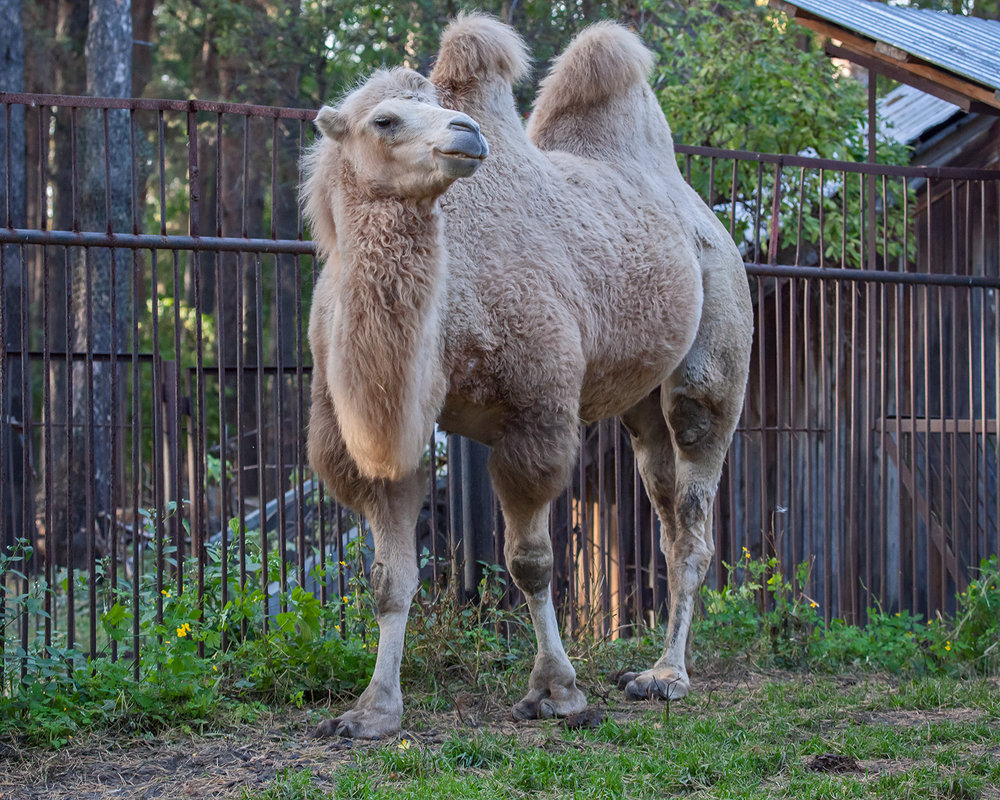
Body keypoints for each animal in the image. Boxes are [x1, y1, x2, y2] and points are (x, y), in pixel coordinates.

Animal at [302, 14, 752, 736]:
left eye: (439, 105)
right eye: (385, 119)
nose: (467, 132)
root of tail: (701, 213)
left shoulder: (536, 408)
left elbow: (532, 564)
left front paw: (556, 691)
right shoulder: (375, 433)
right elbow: (388, 579)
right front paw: (372, 711)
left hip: (716, 351)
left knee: (694, 504)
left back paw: (667, 676)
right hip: (641, 403)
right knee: (662, 498)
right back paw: (651, 667)